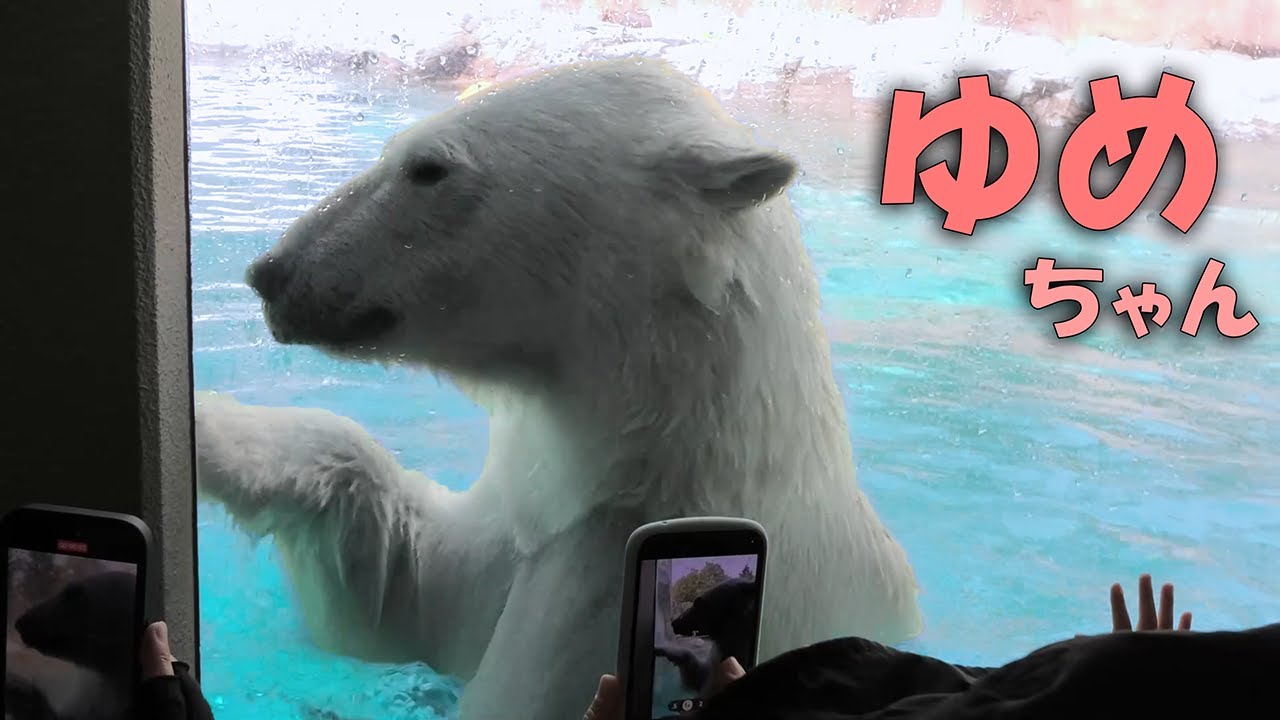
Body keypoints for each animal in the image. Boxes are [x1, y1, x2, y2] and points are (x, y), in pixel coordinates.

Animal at [192, 55, 922, 720]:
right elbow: (400, 589)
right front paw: (208, 427)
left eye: (428, 168)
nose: (272, 272)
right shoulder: (521, 530)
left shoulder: (596, 603)